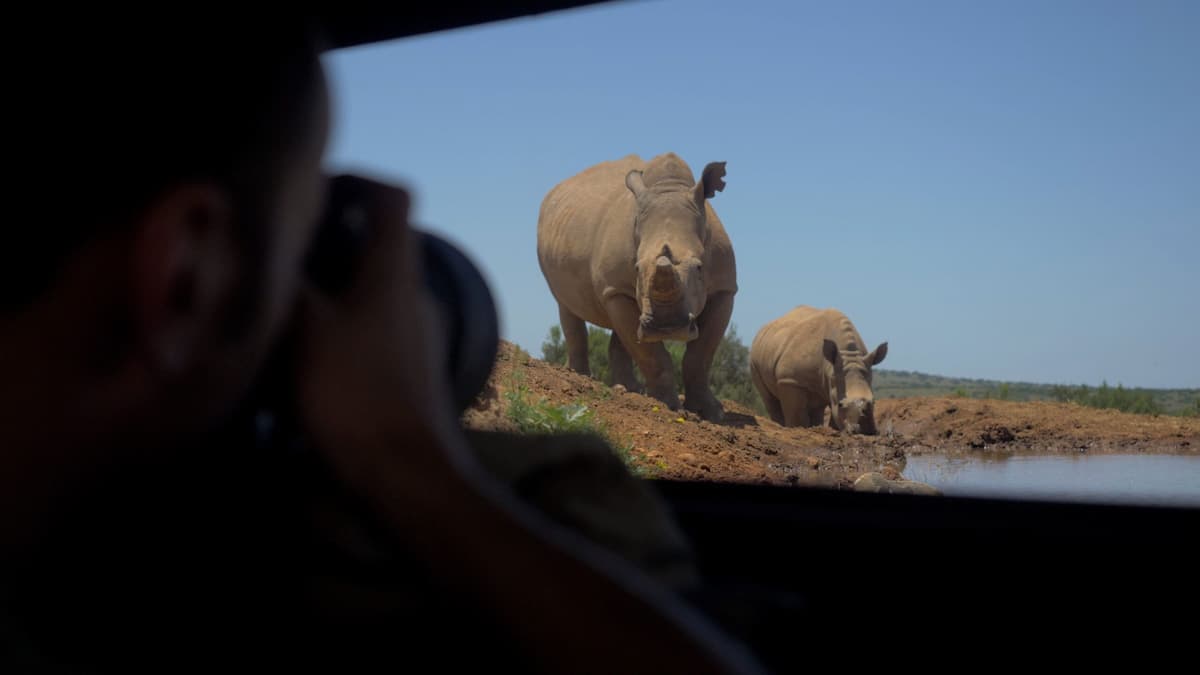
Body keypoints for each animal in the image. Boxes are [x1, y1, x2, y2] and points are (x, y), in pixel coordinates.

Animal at [536, 153, 737, 421]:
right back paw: (581, 377)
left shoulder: (725, 288)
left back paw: (629, 389)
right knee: (567, 305)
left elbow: (700, 355)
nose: (667, 327)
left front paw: (711, 413)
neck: (670, 188)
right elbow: (653, 355)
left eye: (699, 268)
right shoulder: (616, 289)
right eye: (637, 269)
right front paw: (667, 405)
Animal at [749, 306, 888, 434]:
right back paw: (780, 426)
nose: (865, 431)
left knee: (817, 405)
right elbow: (796, 416)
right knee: (769, 399)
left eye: (874, 402)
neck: (849, 354)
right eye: (841, 404)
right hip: (755, 359)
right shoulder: (790, 380)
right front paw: (797, 429)